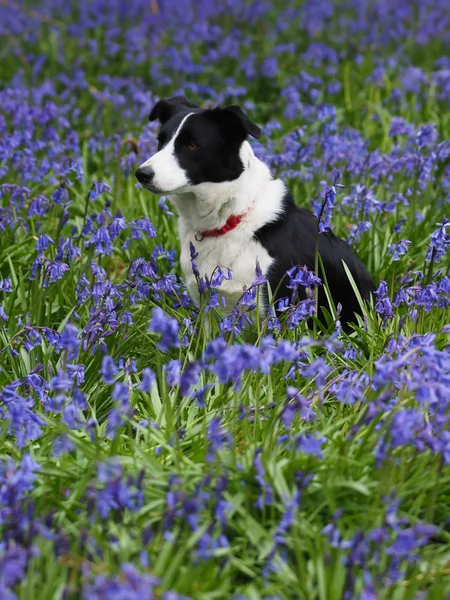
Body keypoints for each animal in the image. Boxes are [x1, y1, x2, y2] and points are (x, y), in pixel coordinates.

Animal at [135, 98, 374, 330]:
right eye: (161, 141)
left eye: (191, 145)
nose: (141, 174)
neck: (228, 221)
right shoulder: (207, 305)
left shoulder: (275, 305)